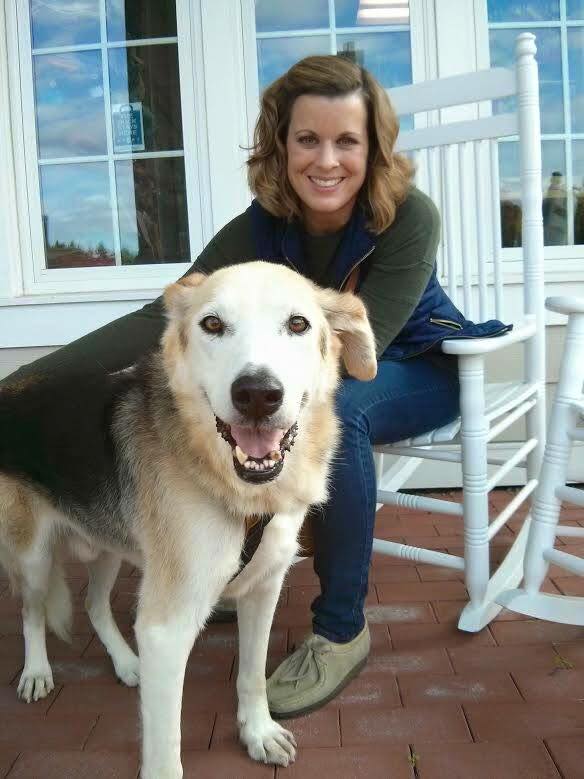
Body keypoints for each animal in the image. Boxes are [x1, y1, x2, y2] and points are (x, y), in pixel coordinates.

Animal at [0, 261, 377, 777]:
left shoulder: (263, 588)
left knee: (95, 605)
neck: (239, 489)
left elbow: (252, 675)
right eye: (212, 324)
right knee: (31, 610)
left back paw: (127, 663)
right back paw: (37, 671)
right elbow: (164, 750)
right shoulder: (167, 627)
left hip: (109, 543)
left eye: (298, 324)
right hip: (33, 555)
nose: (257, 395)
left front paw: (258, 733)